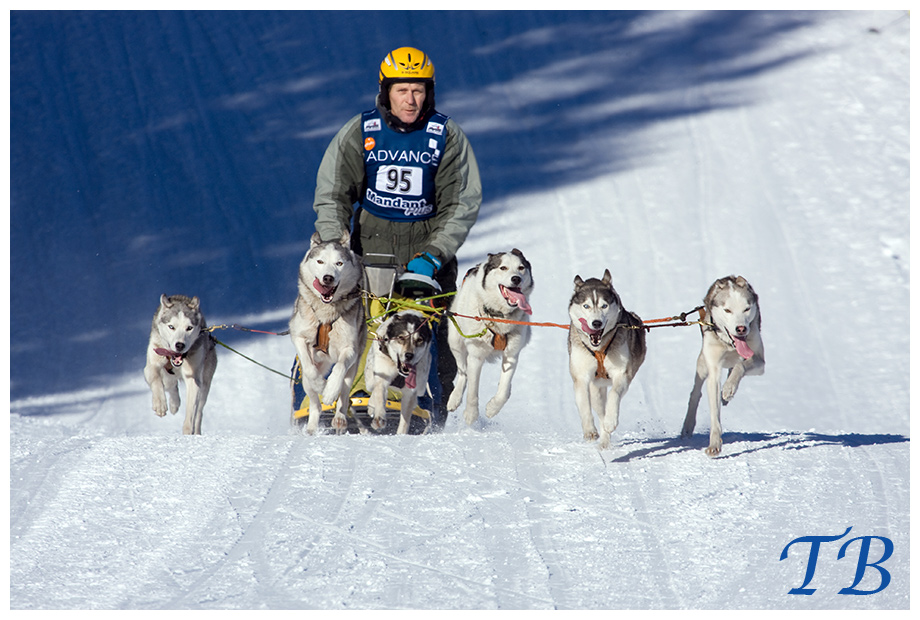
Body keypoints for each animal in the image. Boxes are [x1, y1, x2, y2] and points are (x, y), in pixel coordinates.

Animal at [143, 296, 217, 436]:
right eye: (171, 327)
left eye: (189, 328)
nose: (180, 345)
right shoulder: (151, 366)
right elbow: (156, 380)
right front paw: (160, 404)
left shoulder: (193, 378)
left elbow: (191, 411)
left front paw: (187, 431)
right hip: (167, 376)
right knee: (170, 385)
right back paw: (174, 404)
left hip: (205, 386)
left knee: (199, 412)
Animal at [292, 230, 370, 434]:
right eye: (320, 261)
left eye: (339, 263)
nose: (328, 278)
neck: (326, 314)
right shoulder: (299, 337)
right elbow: (310, 369)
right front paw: (321, 385)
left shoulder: (350, 349)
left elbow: (339, 368)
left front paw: (329, 390)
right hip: (305, 381)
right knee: (315, 405)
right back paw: (311, 428)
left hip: (353, 370)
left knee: (344, 395)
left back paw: (340, 418)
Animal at [450, 247, 536, 426]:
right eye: (503, 268)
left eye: (521, 268)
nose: (516, 279)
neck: (498, 316)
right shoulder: (475, 356)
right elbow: (472, 390)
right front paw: (471, 414)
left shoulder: (511, 355)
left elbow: (503, 390)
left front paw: (492, 408)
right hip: (455, 342)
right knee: (463, 372)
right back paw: (454, 398)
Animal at [568, 272, 648, 450]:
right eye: (586, 306)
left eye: (604, 306)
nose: (596, 323)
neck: (599, 348)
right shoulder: (581, 377)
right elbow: (584, 405)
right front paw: (590, 431)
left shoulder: (622, 374)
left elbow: (614, 395)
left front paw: (611, 421)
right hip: (596, 390)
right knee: (599, 410)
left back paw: (605, 436)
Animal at [680, 274, 764, 456]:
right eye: (727, 310)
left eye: (746, 309)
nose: (741, 329)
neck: (729, 344)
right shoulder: (713, 370)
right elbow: (714, 412)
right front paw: (714, 444)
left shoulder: (760, 362)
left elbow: (740, 367)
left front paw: (729, 388)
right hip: (702, 365)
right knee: (695, 393)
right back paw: (688, 425)